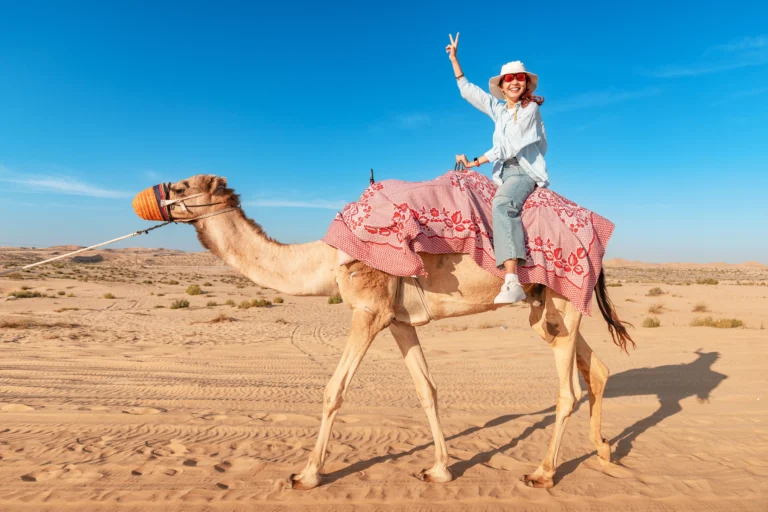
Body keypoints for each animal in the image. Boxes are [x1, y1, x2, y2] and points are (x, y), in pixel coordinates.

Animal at [155, 174, 634, 490]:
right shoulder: (399, 320)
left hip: (562, 300)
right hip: (548, 308)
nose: (151, 196)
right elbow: (426, 388)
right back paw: (605, 450)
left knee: (568, 391)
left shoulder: (369, 310)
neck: (327, 258)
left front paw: (307, 474)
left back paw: (543, 472)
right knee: (597, 369)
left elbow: (334, 391)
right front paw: (439, 469)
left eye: (180, 187)